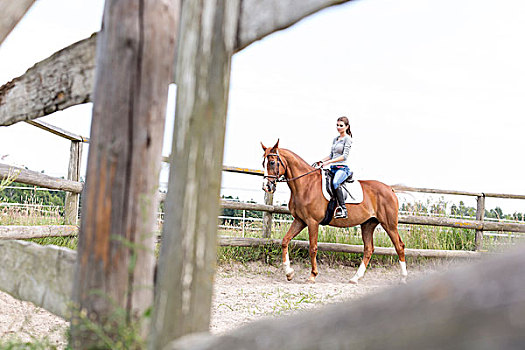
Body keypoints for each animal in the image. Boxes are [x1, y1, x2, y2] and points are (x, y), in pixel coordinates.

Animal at [260, 140, 406, 284]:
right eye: (263, 163)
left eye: (271, 162)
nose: (267, 187)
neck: (306, 185)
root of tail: (390, 189)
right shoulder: (300, 220)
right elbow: (285, 241)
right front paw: (289, 273)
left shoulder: (312, 222)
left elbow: (313, 248)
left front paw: (312, 275)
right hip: (368, 224)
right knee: (369, 249)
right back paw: (355, 278)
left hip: (389, 224)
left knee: (399, 246)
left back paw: (403, 278)